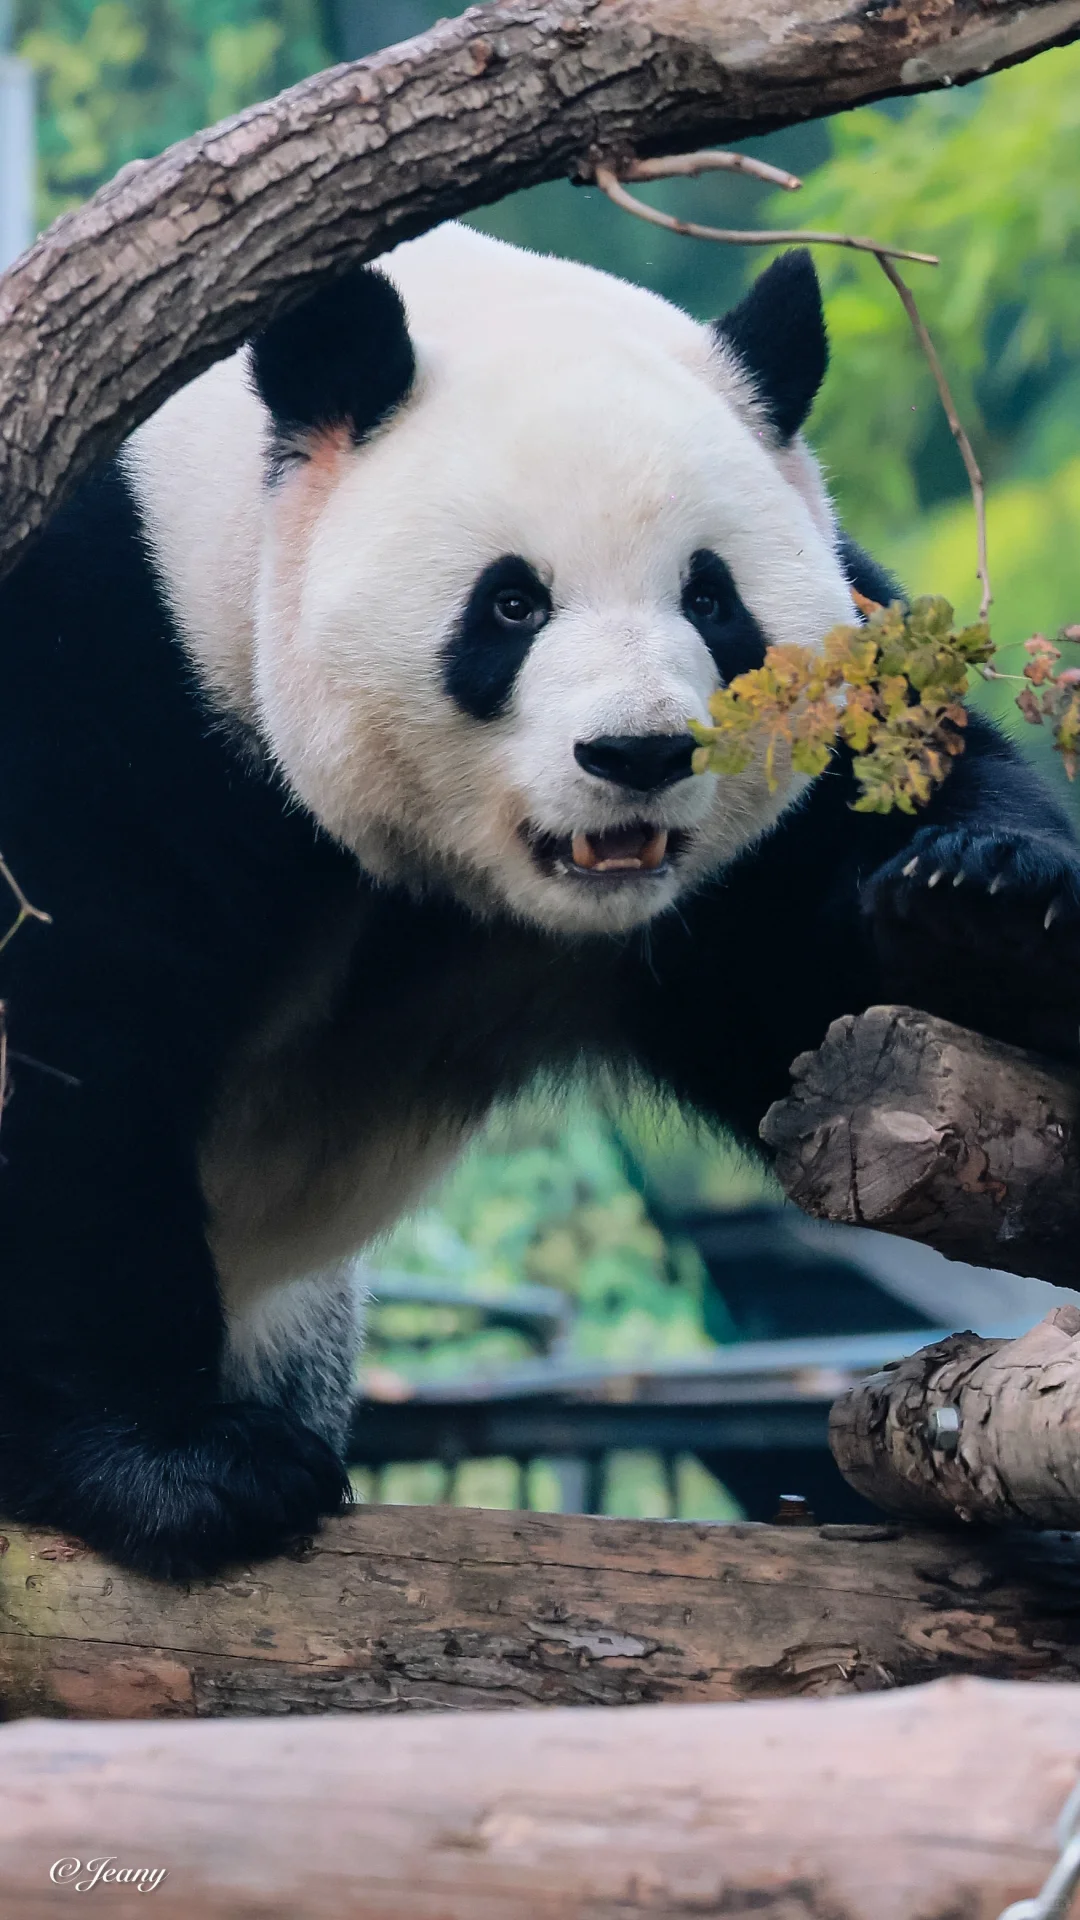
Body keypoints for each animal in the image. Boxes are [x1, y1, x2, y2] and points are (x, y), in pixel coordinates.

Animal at [2, 224, 1076, 1574]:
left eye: (711, 598)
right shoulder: (104, 661)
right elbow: (68, 1035)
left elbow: (818, 993)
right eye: (512, 602)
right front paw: (182, 1467)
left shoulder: (747, 865)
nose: (640, 754)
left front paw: (980, 908)